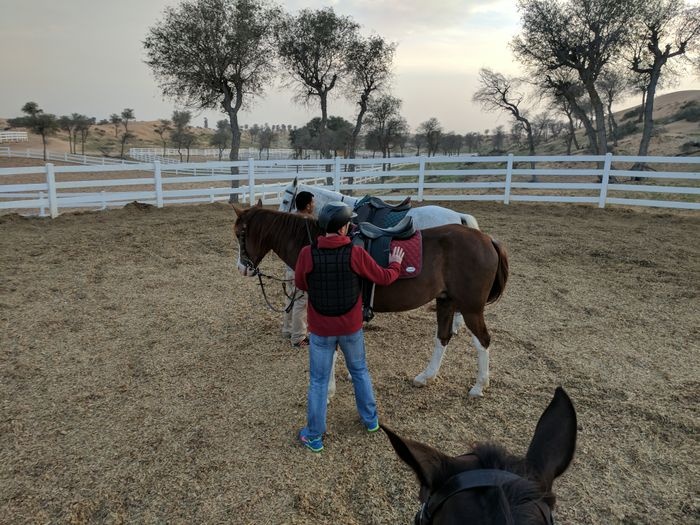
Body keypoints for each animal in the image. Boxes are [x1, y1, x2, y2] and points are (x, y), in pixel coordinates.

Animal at [232, 202, 509, 397]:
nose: (242, 268)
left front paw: (328, 390)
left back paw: (479, 386)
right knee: (443, 337)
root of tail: (486, 239)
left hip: (471, 308)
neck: (322, 246)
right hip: (446, 301)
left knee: (482, 341)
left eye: (240, 234)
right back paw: (426, 376)